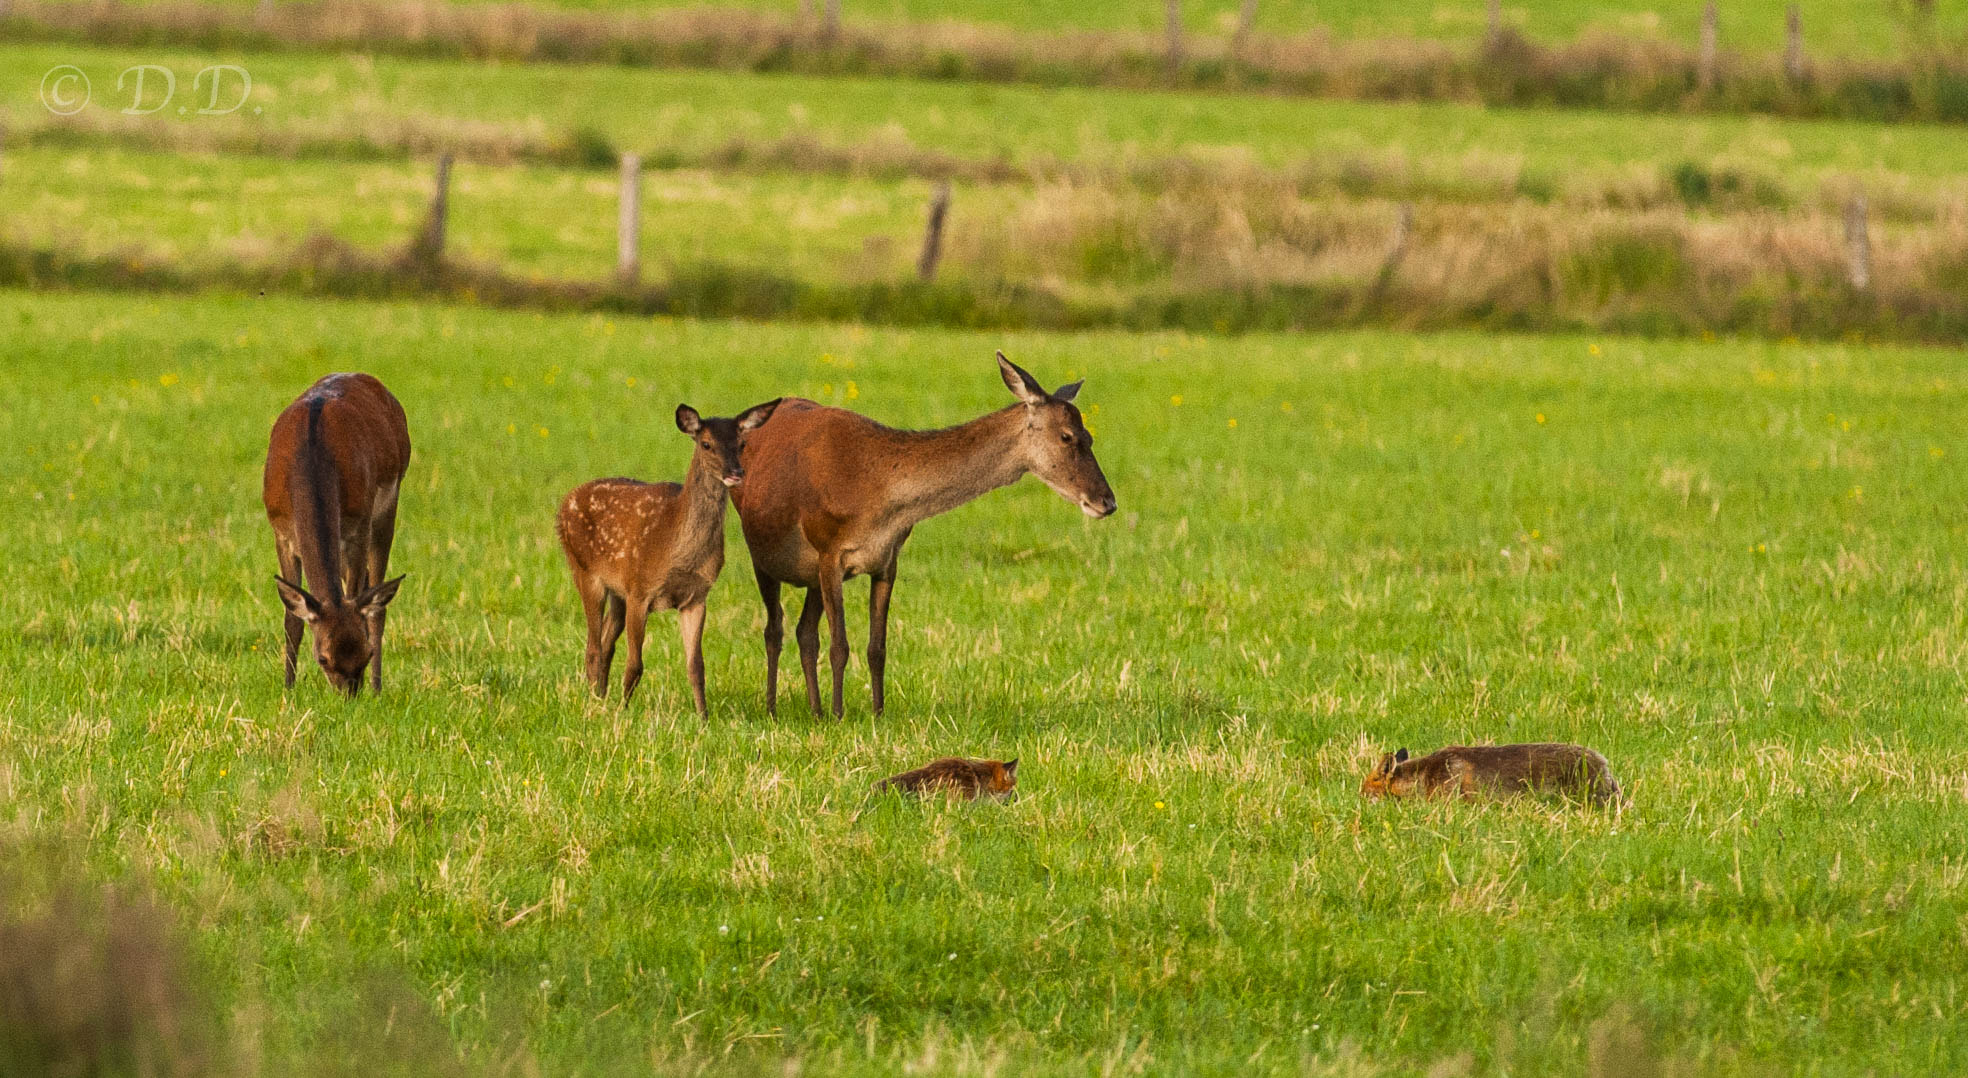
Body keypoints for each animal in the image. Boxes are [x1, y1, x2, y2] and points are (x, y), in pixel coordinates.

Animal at [263, 375, 409, 696]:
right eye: (323, 658)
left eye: (366, 653)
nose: (350, 696)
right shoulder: (281, 533)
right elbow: (293, 618)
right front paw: (288, 688)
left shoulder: (359, 526)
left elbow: (359, 599)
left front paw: (372, 688)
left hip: (387, 507)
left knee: (377, 604)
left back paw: (378, 688)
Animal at [558, 399, 779, 712]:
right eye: (706, 444)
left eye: (742, 443)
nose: (736, 472)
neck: (678, 552)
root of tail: (563, 504)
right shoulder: (640, 590)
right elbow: (635, 664)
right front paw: (624, 711)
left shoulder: (695, 597)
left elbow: (696, 667)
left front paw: (703, 716)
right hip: (584, 569)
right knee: (593, 647)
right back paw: (594, 702)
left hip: (617, 590)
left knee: (606, 640)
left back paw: (600, 696)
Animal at [732, 352, 1117, 716]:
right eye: (1067, 436)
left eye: (1090, 436)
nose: (1107, 501)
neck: (876, 494)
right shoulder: (829, 551)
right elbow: (840, 646)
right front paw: (840, 715)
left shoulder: (887, 559)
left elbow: (877, 647)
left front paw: (877, 713)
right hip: (763, 554)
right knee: (774, 629)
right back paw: (773, 708)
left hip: (810, 575)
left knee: (804, 632)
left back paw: (814, 710)